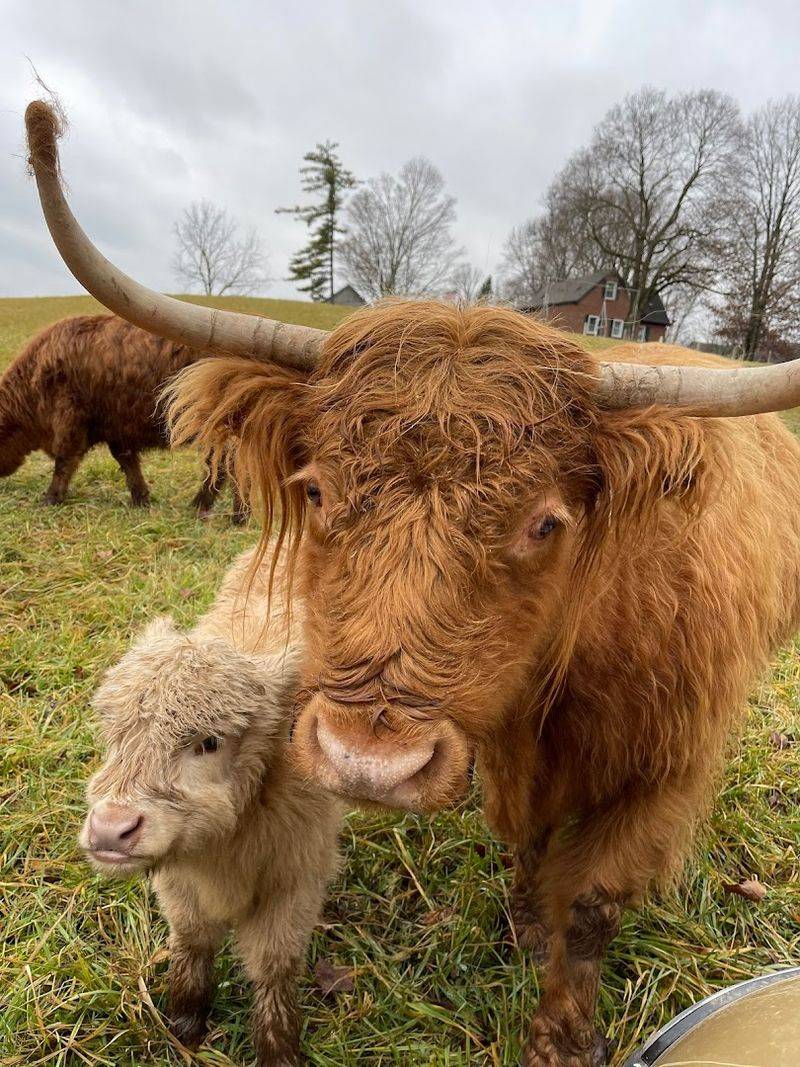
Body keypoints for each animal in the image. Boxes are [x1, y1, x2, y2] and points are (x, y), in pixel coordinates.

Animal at [0, 311, 246, 519]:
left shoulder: (69, 421)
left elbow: (64, 463)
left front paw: (50, 499)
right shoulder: (117, 429)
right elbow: (128, 463)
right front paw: (141, 500)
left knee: (228, 466)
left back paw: (225, 513)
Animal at [26, 98, 800, 1066]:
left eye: (546, 521)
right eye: (317, 490)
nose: (369, 763)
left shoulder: (663, 769)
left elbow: (592, 902)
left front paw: (559, 1032)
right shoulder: (509, 749)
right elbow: (527, 835)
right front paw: (525, 919)